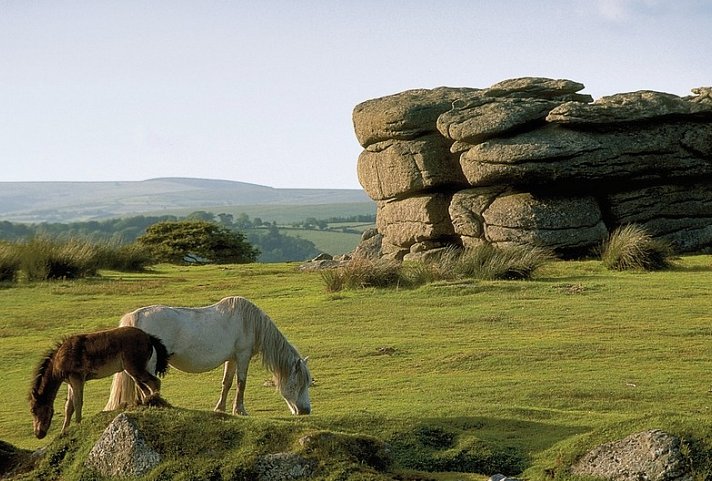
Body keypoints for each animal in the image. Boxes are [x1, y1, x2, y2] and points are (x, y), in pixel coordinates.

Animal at [29, 324, 170, 436]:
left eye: (34, 410)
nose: (38, 434)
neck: (59, 358)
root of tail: (148, 337)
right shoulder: (70, 382)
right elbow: (68, 406)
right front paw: (64, 431)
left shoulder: (77, 378)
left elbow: (77, 402)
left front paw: (78, 425)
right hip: (132, 372)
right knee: (145, 387)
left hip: (134, 369)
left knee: (155, 382)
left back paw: (155, 401)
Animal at [103, 294, 312, 414]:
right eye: (298, 384)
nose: (306, 411)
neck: (249, 322)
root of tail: (135, 317)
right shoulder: (243, 356)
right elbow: (241, 383)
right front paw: (240, 410)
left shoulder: (232, 359)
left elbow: (227, 383)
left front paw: (220, 409)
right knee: (144, 383)